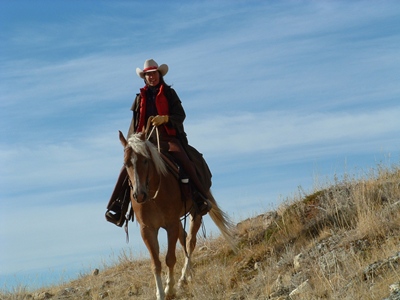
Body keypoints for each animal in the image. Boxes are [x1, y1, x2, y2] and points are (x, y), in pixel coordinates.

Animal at [120, 131, 236, 300]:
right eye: (126, 163)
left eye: (145, 160)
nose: (139, 195)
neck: (154, 195)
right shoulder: (147, 230)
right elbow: (155, 264)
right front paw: (160, 293)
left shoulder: (172, 224)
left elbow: (170, 258)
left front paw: (170, 289)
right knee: (184, 239)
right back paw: (189, 274)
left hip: (195, 212)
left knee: (190, 242)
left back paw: (182, 278)